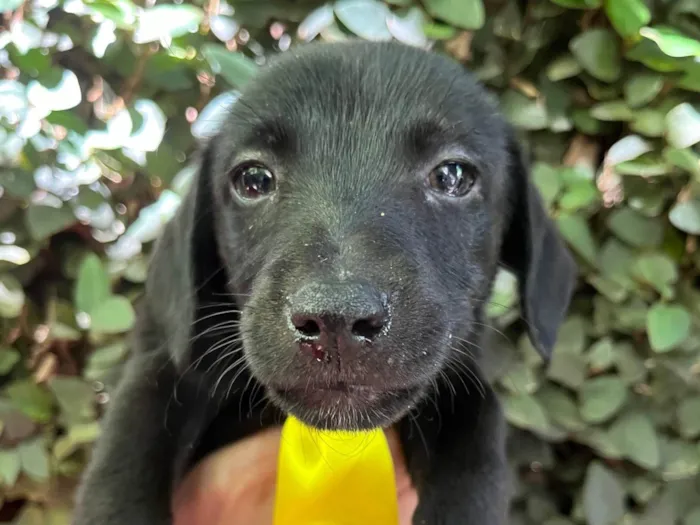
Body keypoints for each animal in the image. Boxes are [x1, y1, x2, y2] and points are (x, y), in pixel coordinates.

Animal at [71, 41, 576, 524]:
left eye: (453, 175)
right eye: (253, 179)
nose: (337, 319)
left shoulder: (458, 383)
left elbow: (478, 431)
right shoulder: (168, 367)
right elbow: (125, 456)